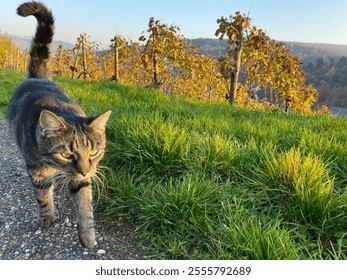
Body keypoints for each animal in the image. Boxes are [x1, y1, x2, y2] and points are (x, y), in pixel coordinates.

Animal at [8, 1, 111, 248]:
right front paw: (46, 218)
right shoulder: (37, 172)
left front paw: (87, 235)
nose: (85, 170)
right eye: (66, 154)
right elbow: (42, 196)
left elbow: (85, 204)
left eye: (93, 152)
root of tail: (38, 76)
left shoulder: (81, 179)